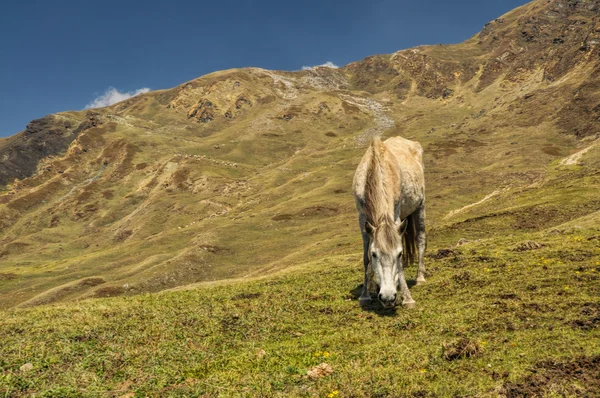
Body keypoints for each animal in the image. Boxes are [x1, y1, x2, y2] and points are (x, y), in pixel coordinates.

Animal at [352, 136, 426, 308]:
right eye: (374, 254)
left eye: (399, 254)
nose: (388, 297)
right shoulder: (362, 218)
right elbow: (365, 258)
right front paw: (365, 295)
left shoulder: (396, 214)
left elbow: (400, 265)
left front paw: (407, 298)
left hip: (420, 205)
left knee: (420, 239)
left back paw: (420, 277)